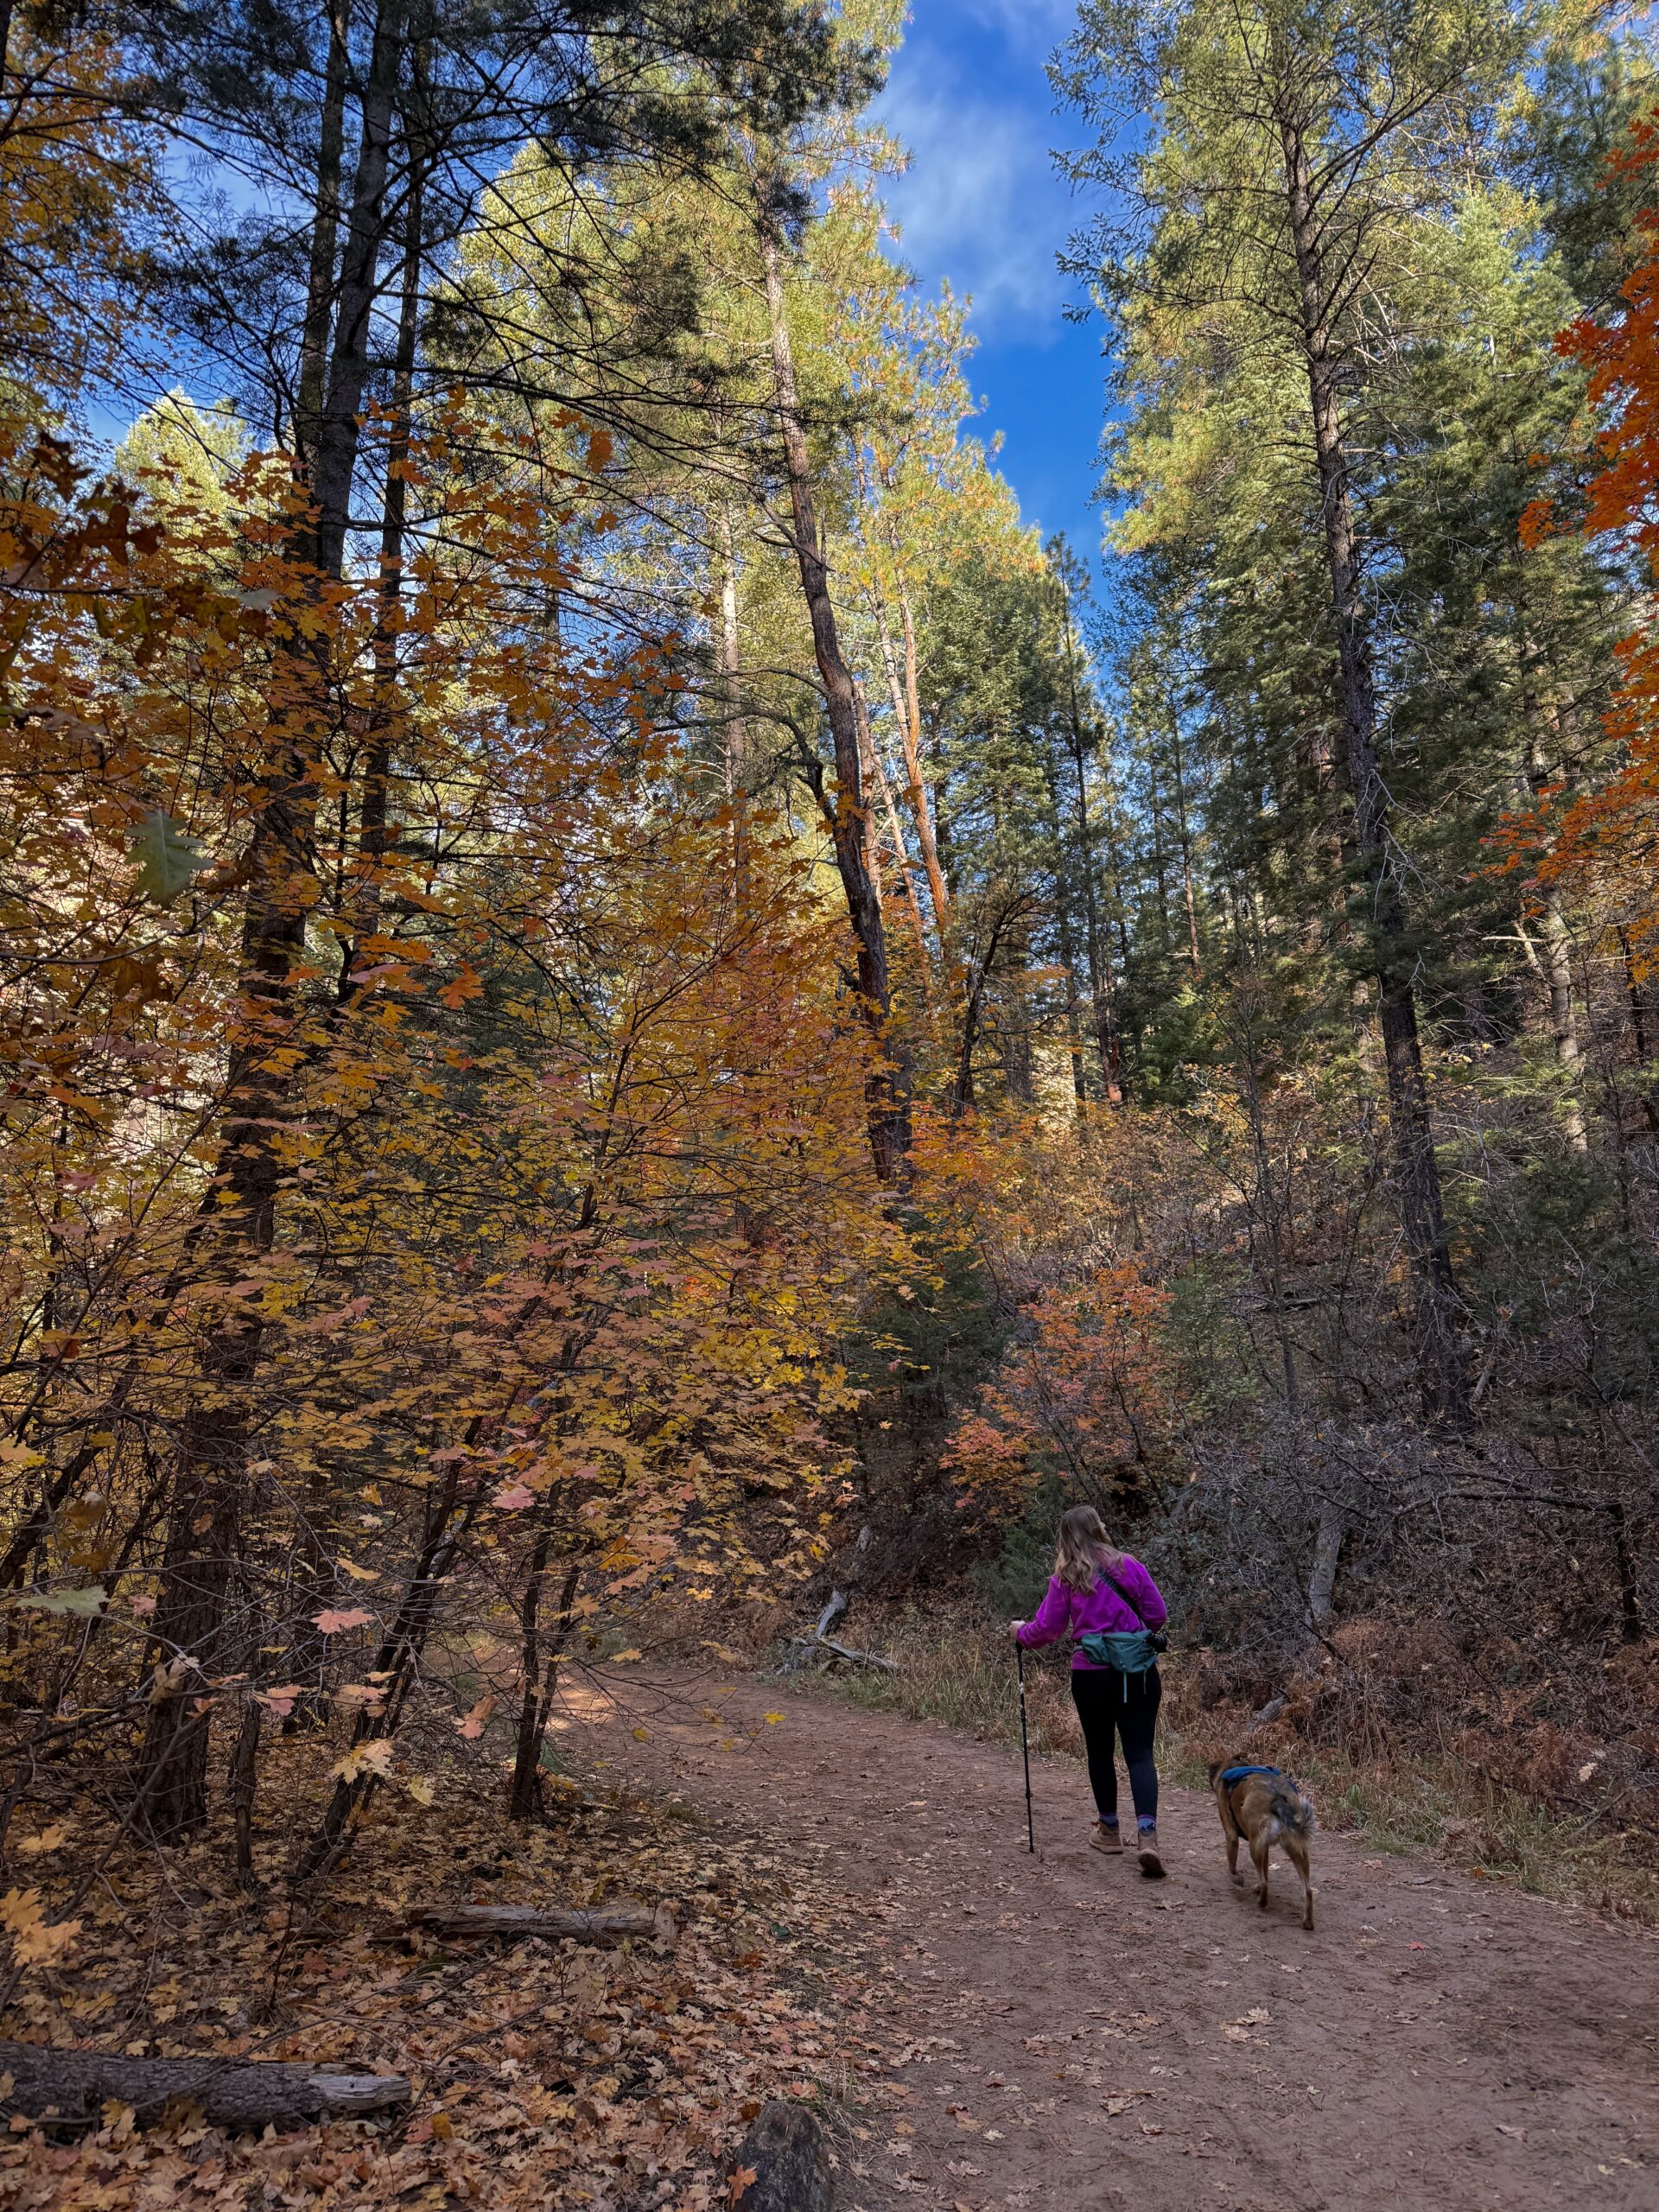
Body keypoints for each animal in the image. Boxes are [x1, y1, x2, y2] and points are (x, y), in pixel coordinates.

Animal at [1211, 1751, 1318, 1929]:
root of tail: (1278, 1797)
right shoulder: (1266, 1848)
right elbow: (1266, 1871)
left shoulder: (1231, 1834)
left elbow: (1232, 1865)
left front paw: (1236, 1879)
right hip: (1297, 1852)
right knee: (1307, 1891)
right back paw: (1307, 1922)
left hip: (1255, 1847)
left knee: (1265, 1884)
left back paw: (1261, 1901)